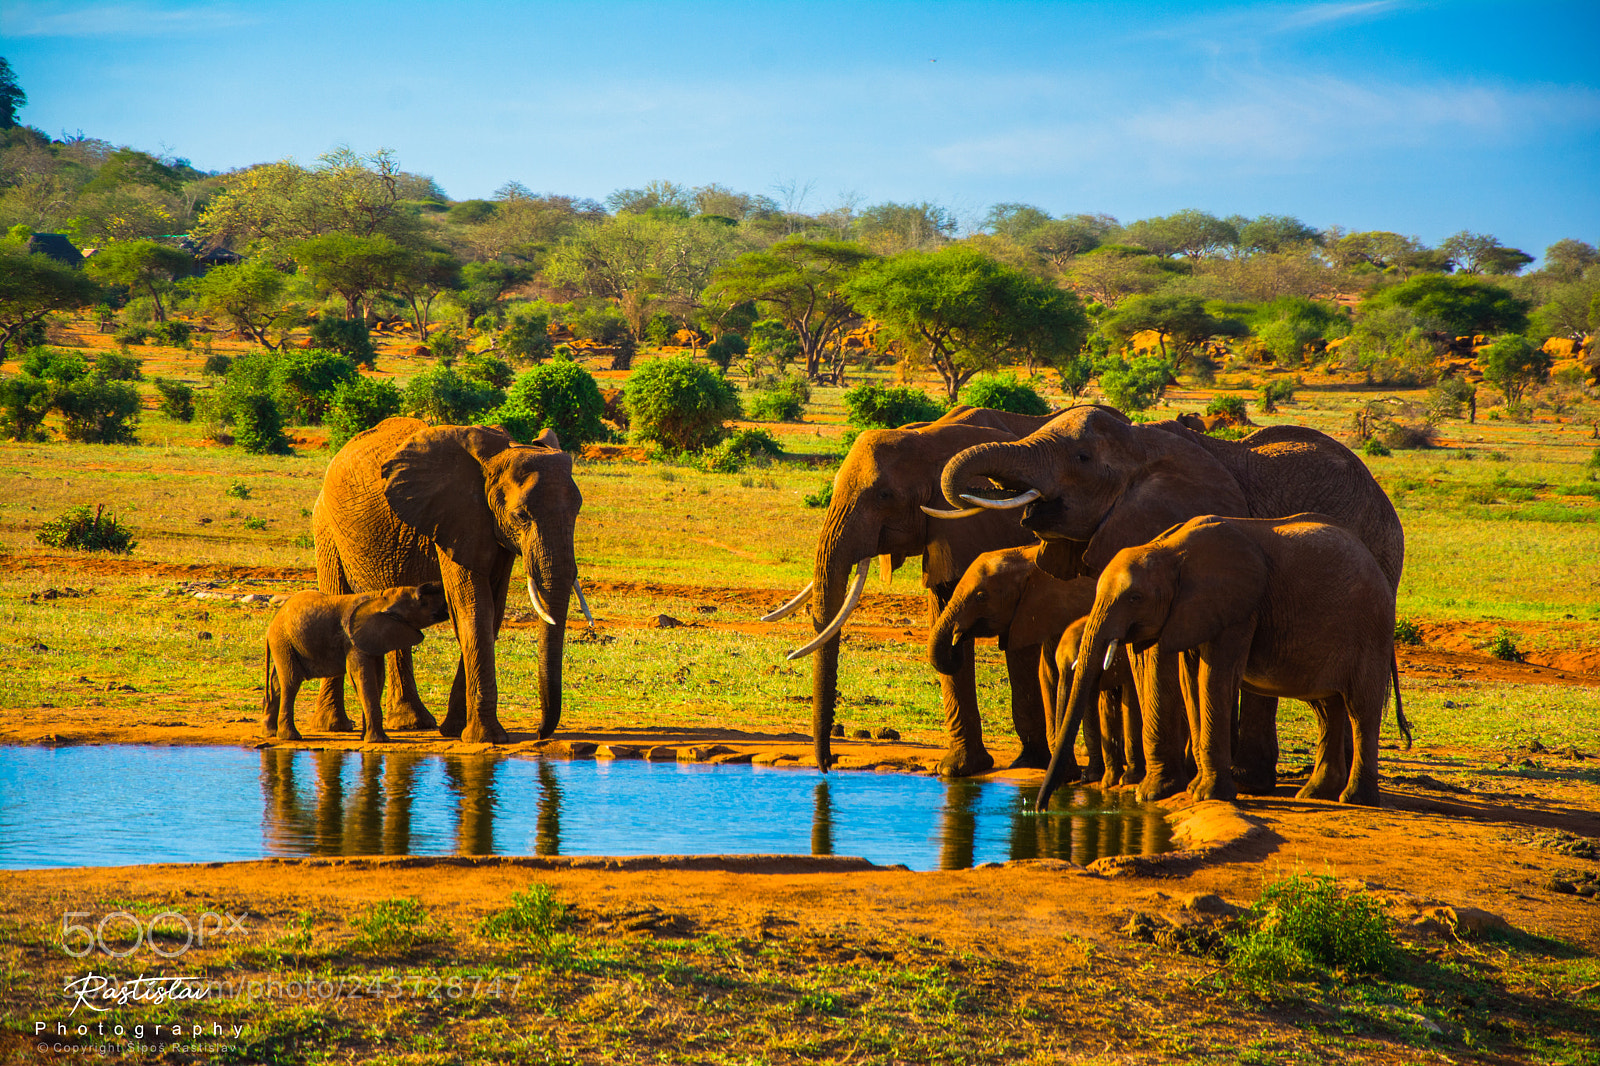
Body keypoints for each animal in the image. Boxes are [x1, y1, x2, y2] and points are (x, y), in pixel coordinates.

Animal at [262, 583, 451, 743]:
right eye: (421, 601)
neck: (382, 597)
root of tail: (272, 623)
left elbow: (377, 679)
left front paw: (365, 737)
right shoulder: (352, 641)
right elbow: (362, 677)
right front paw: (378, 741)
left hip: (284, 644)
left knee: (277, 683)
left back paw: (270, 732)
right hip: (283, 641)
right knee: (291, 682)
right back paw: (290, 737)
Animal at [312, 417, 587, 745]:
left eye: (577, 511)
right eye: (521, 516)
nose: (540, 732)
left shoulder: (489, 526)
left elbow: (493, 612)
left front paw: (456, 730)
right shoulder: (457, 517)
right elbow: (474, 610)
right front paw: (486, 737)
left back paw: (411, 723)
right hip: (326, 526)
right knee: (334, 598)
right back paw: (334, 726)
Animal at [1038, 514, 1398, 810]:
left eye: (1135, 598)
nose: (1041, 808)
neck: (1170, 550)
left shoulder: (1237, 609)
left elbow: (1215, 677)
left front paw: (1207, 795)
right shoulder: (1191, 610)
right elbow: (1189, 679)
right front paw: (1186, 791)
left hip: (1370, 629)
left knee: (1360, 708)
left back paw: (1356, 800)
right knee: (1327, 707)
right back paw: (1314, 795)